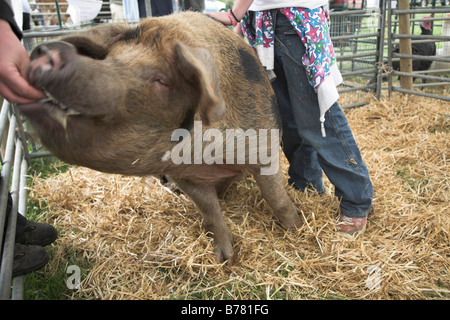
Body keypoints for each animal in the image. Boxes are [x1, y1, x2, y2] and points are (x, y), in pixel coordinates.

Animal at [20, 11, 302, 264]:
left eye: (161, 79)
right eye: (109, 58)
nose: (49, 52)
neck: (209, 157)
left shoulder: (264, 147)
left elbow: (276, 198)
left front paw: (296, 226)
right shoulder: (187, 176)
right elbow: (211, 212)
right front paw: (224, 259)